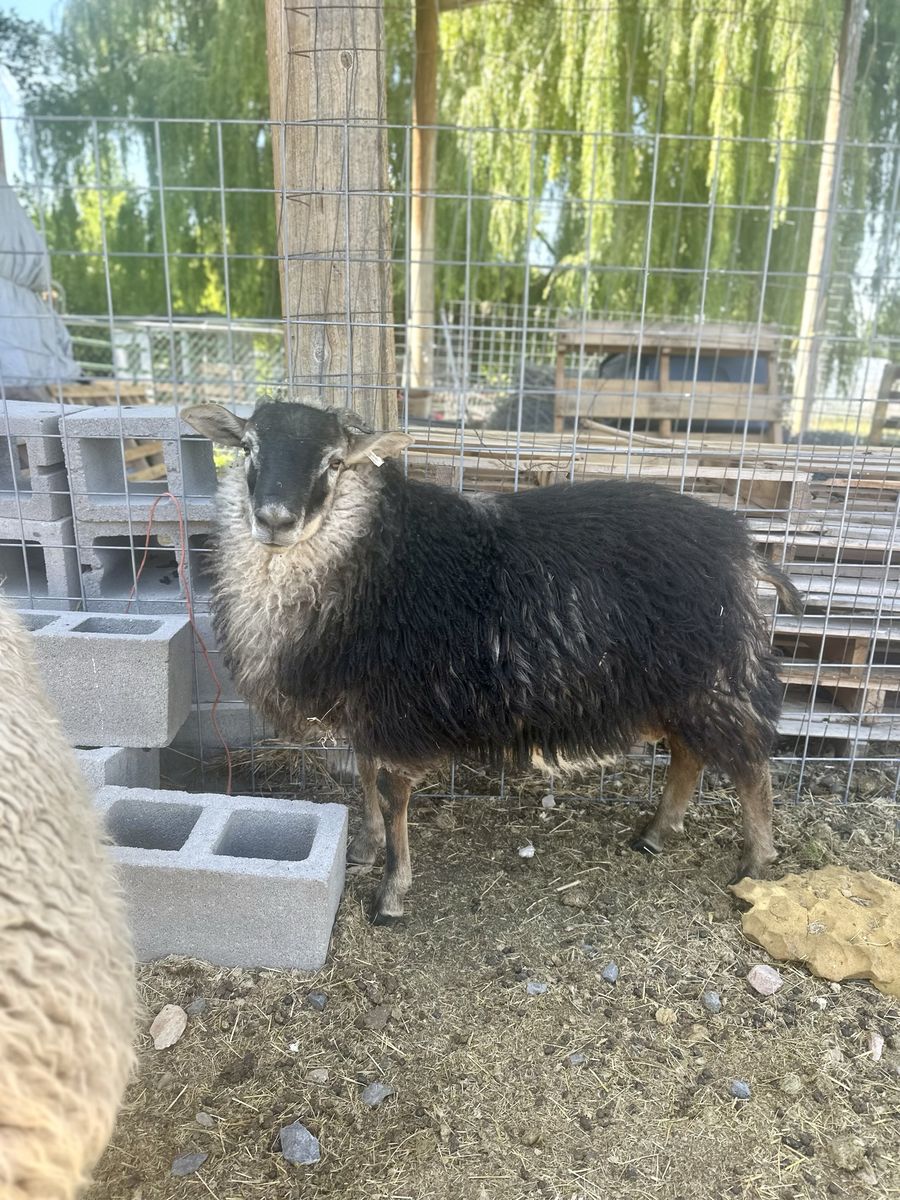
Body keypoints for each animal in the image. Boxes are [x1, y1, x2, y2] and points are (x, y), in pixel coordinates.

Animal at [183, 400, 802, 925]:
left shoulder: (397, 705)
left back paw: (755, 862)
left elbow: (392, 791)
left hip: (714, 676)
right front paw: (365, 846)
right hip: (673, 681)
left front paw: (391, 893)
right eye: (247, 448)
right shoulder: (364, 702)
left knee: (750, 762)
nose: (275, 520)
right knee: (688, 754)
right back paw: (656, 832)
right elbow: (364, 774)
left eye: (335, 462)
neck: (369, 551)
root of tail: (746, 551)